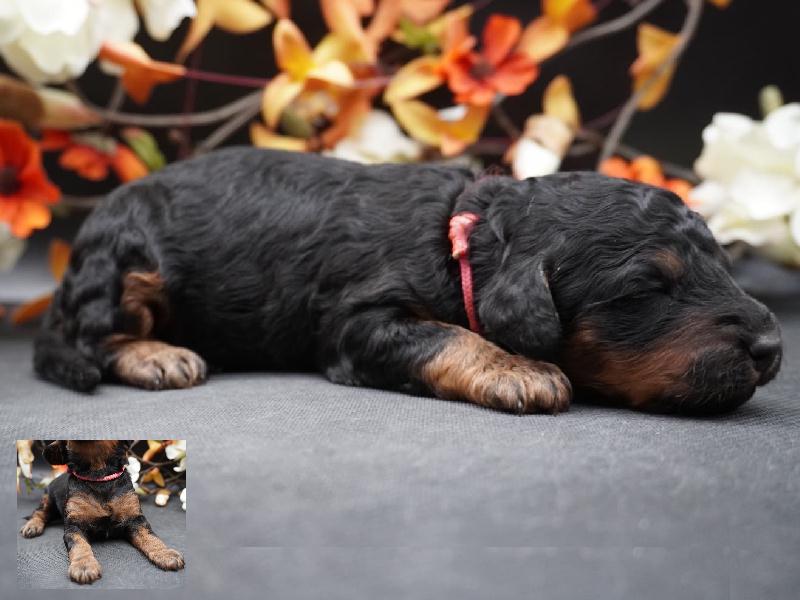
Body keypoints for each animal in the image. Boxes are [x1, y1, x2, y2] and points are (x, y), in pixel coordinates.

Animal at [19, 440, 184, 584]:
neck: (99, 474)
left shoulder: (135, 519)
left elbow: (150, 537)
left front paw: (166, 554)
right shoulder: (74, 525)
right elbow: (79, 544)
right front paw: (84, 566)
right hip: (49, 499)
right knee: (39, 512)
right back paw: (32, 526)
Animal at [33, 147, 781, 414]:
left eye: (720, 264)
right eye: (646, 292)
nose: (773, 350)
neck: (468, 239)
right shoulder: (357, 322)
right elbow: (450, 336)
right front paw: (518, 368)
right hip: (129, 261)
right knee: (87, 336)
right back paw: (158, 356)